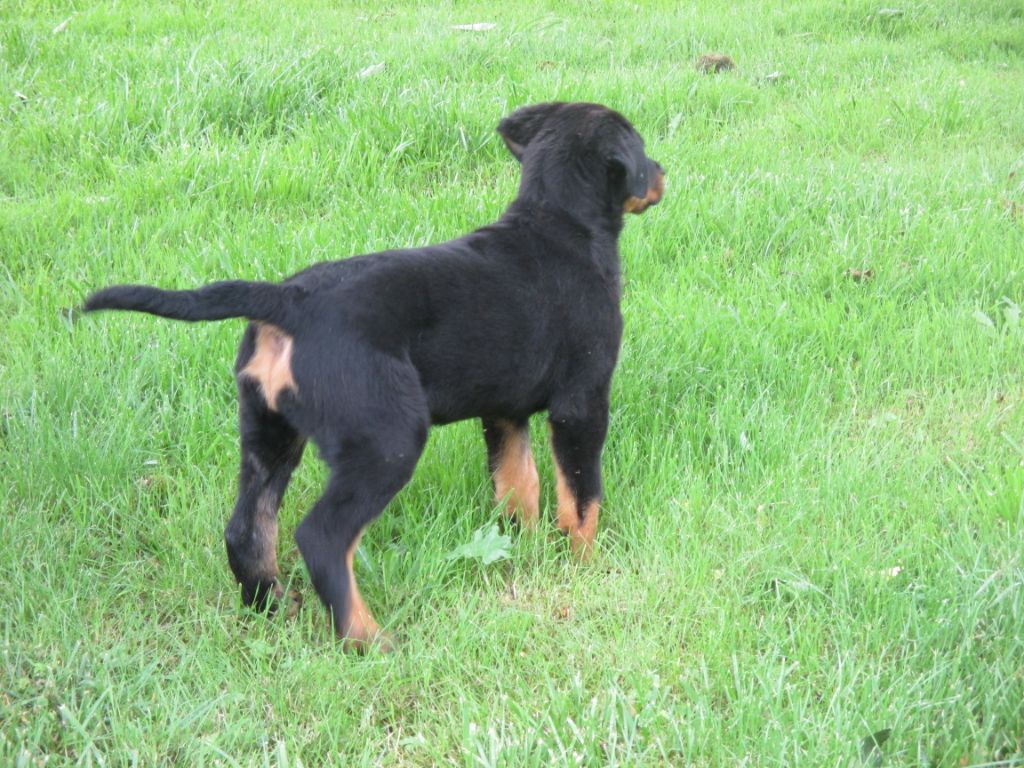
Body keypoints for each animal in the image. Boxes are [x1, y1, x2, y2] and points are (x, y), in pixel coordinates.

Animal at [84, 102, 665, 651]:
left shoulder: (504, 411)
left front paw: (524, 543)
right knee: (321, 537)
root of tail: (288, 300)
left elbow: (517, 482)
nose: (662, 172)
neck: (556, 224)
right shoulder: (581, 402)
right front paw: (583, 564)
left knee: (247, 530)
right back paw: (366, 639)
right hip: (386, 439)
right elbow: (581, 494)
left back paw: (271, 610)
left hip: (270, 434)